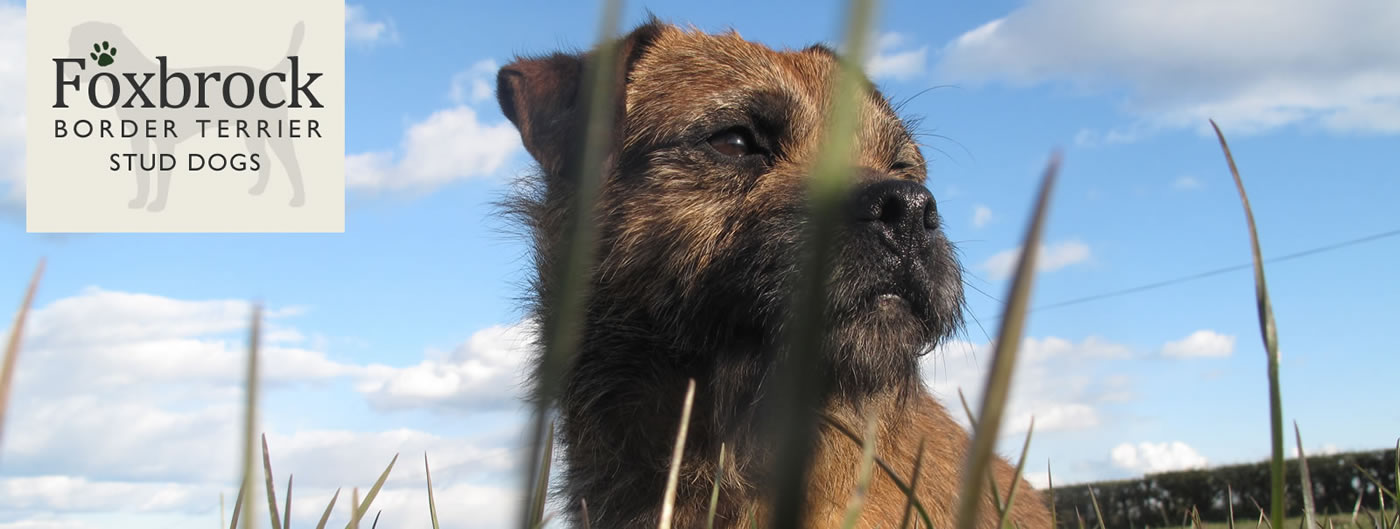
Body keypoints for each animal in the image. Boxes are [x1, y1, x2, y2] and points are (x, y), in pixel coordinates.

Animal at [66, 20, 306, 211]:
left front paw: (157, 205)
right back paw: (258, 190)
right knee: (266, 161)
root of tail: (269, 74)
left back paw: (299, 200)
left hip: (275, 132)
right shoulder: (138, 138)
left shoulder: (164, 140)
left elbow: (161, 176)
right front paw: (140, 201)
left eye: (84, 45)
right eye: (70, 45)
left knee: (292, 163)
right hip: (253, 134)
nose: (68, 72)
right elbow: (142, 175)